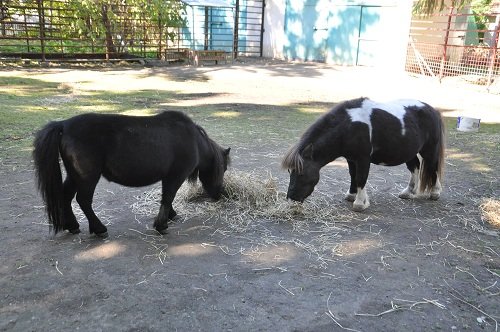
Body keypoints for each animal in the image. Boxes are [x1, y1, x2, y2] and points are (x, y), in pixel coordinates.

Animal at [33, 111, 230, 236]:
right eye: (223, 169)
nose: (219, 194)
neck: (194, 140)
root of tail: (63, 125)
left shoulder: (168, 177)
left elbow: (166, 197)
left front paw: (170, 215)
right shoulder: (175, 176)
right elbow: (168, 197)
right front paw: (162, 225)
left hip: (74, 176)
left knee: (66, 196)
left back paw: (72, 226)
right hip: (87, 178)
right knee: (83, 201)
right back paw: (99, 229)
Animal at [282, 96, 446, 210]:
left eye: (301, 173)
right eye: (290, 172)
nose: (291, 199)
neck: (349, 127)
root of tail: (433, 110)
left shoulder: (362, 159)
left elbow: (361, 177)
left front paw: (360, 203)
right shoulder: (351, 159)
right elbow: (353, 175)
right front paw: (351, 195)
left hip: (429, 150)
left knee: (433, 168)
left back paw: (435, 193)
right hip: (408, 152)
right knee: (415, 167)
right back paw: (408, 192)